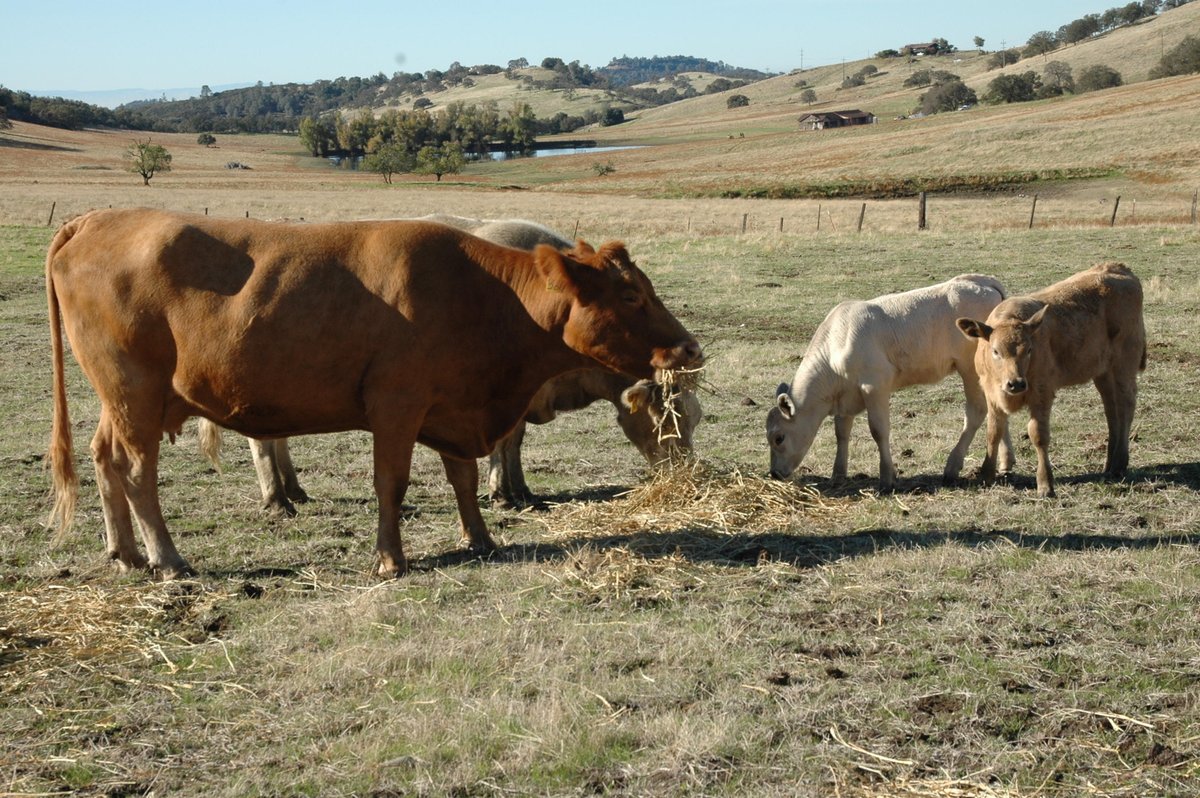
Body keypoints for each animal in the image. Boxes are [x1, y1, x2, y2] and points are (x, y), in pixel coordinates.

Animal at [198, 217, 701, 513]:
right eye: (665, 422)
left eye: (694, 419)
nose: (689, 473)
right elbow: (506, 442)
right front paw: (504, 492)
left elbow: (514, 443)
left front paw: (519, 489)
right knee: (262, 442)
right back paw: (276, 499)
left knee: (276, 436)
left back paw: (294, 490)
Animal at [766, 274, 1013, 491]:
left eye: (779, 438)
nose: (774, 474)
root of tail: (982, 280)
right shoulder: (846, 395)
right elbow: (841, 432)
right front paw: (838, 474)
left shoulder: (875, 385)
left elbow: (878, 430)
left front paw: (886, 478)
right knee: (997, 408)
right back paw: (1005, 462)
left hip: (969, 367)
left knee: (977, 410)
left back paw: (952, 467)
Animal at [956, 262, 1145, 498]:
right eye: (995, 351)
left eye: (1029, 349)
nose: (1016, 383)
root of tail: (1117, 268)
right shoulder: (992, 394)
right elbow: (993, 432)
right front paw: (986, 475)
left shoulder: (1041, 392)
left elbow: (1038, 435)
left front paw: (1045, 483)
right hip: (1103, 372)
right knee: (1112, 410)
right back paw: (1110, 464)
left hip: (1124, 365)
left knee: (1126, 405)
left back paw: (1120, 463)